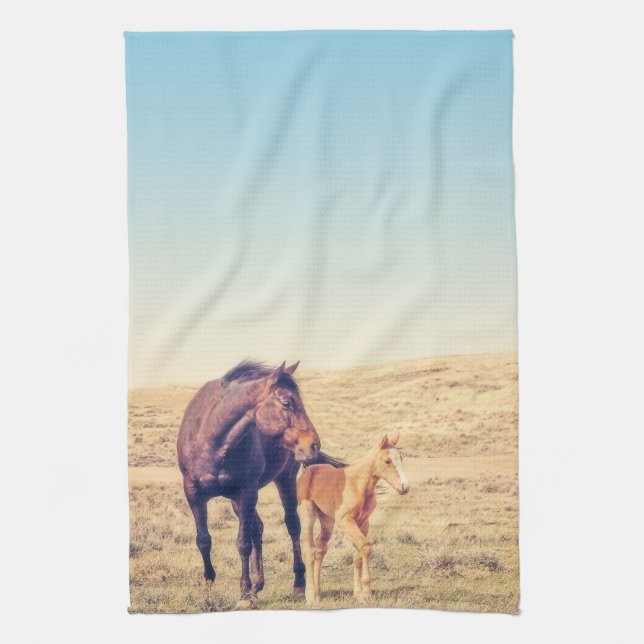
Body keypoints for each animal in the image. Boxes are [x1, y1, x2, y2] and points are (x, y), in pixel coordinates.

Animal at [177, 360, 336, 608]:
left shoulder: (247, 492)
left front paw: (243, 593)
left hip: (284, 480)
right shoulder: (193, 493)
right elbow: (203, 540)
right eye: (287, 402)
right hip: (236, 500)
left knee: (292, 525)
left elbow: (243, 542)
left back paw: (297, 583)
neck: (211, 439)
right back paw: (258, 585)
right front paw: (208, 585)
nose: (313, 445)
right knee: (258, 527)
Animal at [296, 433, 410, 605]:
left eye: (401, 458)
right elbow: (365, 546)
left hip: (327, 520)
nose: (404, 487)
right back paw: (310, 597)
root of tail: (309, 470)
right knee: (308, 548)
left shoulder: (363, 522)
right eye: (387, 461)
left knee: (320, 548)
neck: (359, 485)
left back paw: (317, 593)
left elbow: (357, 554)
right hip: (307, 513)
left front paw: (358, 593)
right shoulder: (345, 520)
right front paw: (367, 593)